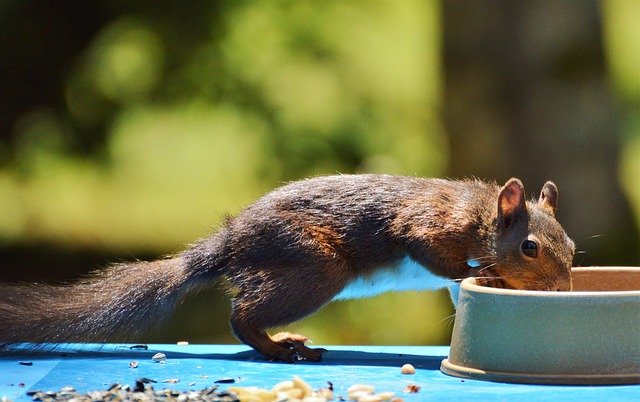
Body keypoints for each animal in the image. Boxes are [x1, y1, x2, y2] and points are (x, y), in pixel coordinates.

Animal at [0, 174, 576, 362]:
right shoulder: (428, 226)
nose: (561, 290)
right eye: (529, 248)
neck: (477, 215)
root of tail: (230, 243)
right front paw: (490, 275)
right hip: (313, 269)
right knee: (241, 313)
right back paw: (279, 348)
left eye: (571, 246)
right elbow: (440, 257)